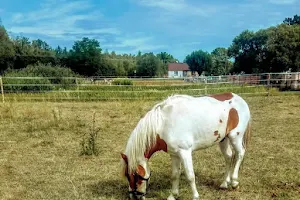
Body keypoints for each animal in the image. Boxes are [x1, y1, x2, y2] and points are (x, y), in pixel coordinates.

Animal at [120, 92, 251, 200]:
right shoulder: (174, 154)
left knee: (240, 154)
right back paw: (224, 183)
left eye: (136, 175)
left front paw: (195, 196)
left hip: (235, 137)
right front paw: (173, 196)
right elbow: (174, 175)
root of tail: (240, 100)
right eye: (126, 175)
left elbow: (190, 175)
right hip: (224, 139)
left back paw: (234, 182)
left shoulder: (185, 152)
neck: (164, 123)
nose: (134, 196)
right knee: (229, 157)